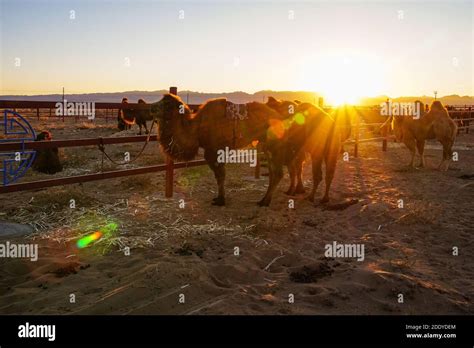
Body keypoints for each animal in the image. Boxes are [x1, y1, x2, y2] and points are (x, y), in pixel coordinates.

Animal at [151, 94, 292, 205]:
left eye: (167, 104)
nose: (151, 108)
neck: (197, 129)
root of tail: (280, 117)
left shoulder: (213, 151)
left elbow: (220, 175)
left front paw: (220, 200)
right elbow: (220, 175)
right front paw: (219, 198)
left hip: (274, 144)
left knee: (277, 173)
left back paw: (264, 201)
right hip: (268, 145)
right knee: (273, 172)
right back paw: (265, 200)